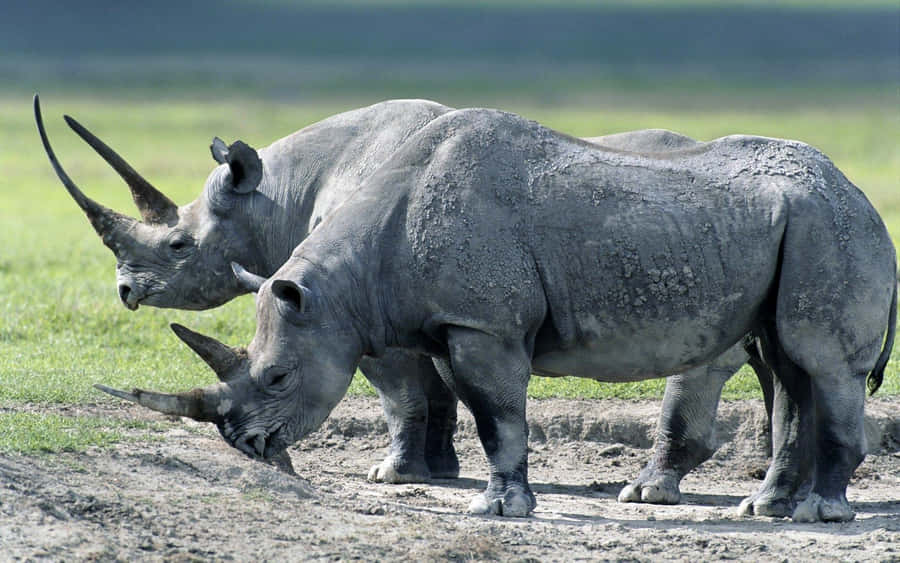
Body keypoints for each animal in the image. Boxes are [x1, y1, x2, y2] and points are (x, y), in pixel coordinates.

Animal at [38, 98, 778, 503]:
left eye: (179, 246)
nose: (126, 291)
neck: (280, 192)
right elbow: (442, 383)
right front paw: (439, 469)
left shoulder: (357, 300)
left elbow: (400, 388)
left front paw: (393, 475)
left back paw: (655, 490)